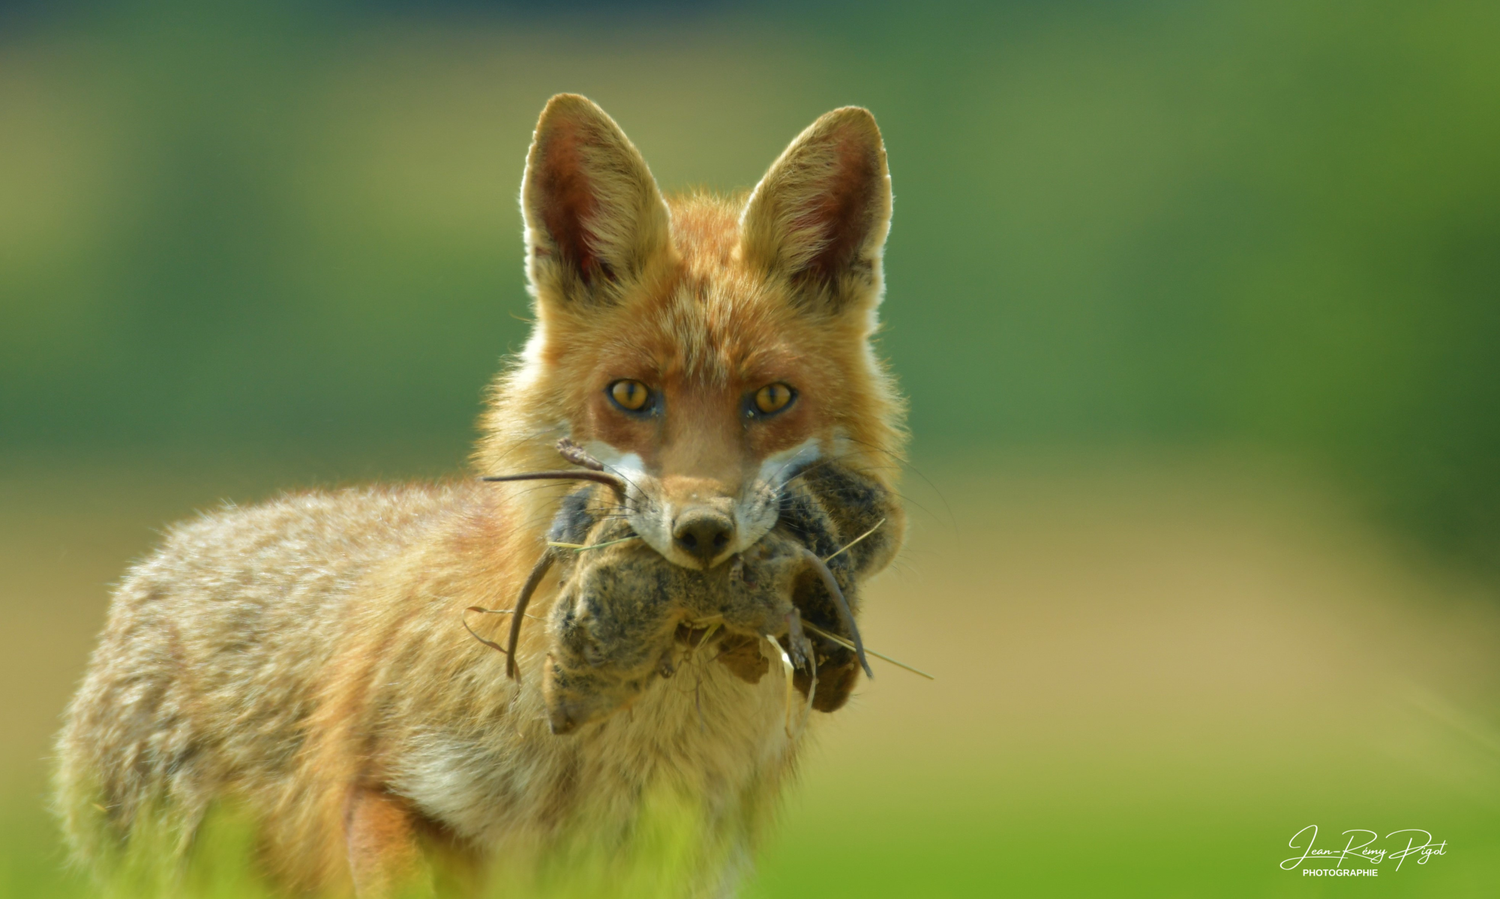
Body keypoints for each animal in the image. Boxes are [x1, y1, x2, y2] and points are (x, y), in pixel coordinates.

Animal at [54, 94, 907, 898]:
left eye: (770, 398)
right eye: (630, 395)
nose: (702, 531)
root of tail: (164, 556)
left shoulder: (671, 866)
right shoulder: (379, 786)